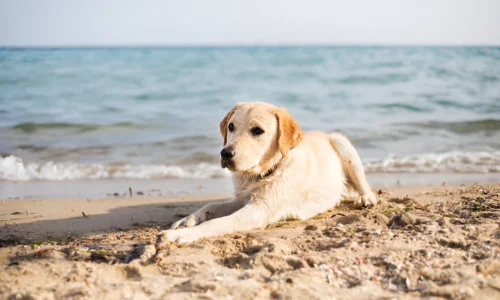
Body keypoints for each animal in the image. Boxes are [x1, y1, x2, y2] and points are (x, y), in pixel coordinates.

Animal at [158, 102, 376, 244]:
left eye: (257, 130)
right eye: (231, 126)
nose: (225, 153)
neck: (267, 171)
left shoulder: (259, 210)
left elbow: (215, 223)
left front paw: (180, 236)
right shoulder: (243, 199)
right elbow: (211, 206)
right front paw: (187, 220)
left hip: (342, 144)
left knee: (365, 185)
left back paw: (366, 198)